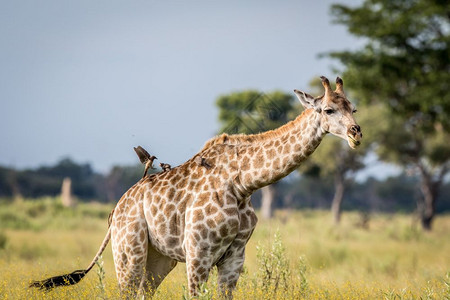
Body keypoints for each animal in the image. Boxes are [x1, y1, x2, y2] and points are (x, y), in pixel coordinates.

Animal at [30, 77, 362, 298]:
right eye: (329, 110)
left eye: (354, 108)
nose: (356, 133)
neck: (243, 184)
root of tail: (115, 210)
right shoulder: (198, 253)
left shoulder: (235, 256)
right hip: (128, 251)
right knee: (126, 291)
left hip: (158, 259)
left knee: (144, 292)